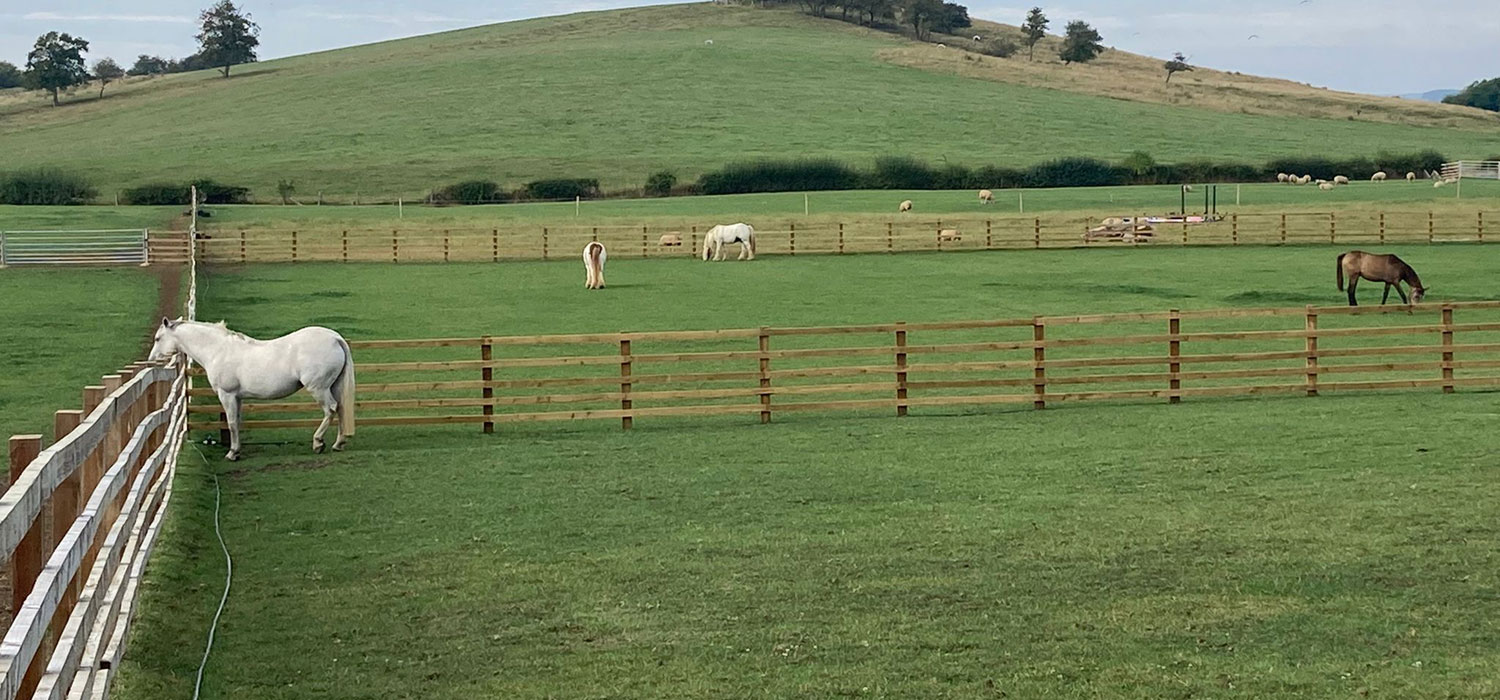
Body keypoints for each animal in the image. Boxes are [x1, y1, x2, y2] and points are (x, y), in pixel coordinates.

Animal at [148, 318, 356, 460]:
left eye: (158, 338)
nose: (152, 360)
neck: (218, 350)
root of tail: (335, 338)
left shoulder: (227, 395)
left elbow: (231, 423)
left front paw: (232, 453)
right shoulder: (237, 398)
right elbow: (238, 422)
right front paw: (237, 450)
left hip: (318, 388)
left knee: (330, 409)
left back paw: (318, 442)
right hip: (333, 386)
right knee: (340, 409)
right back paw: (339, 443)